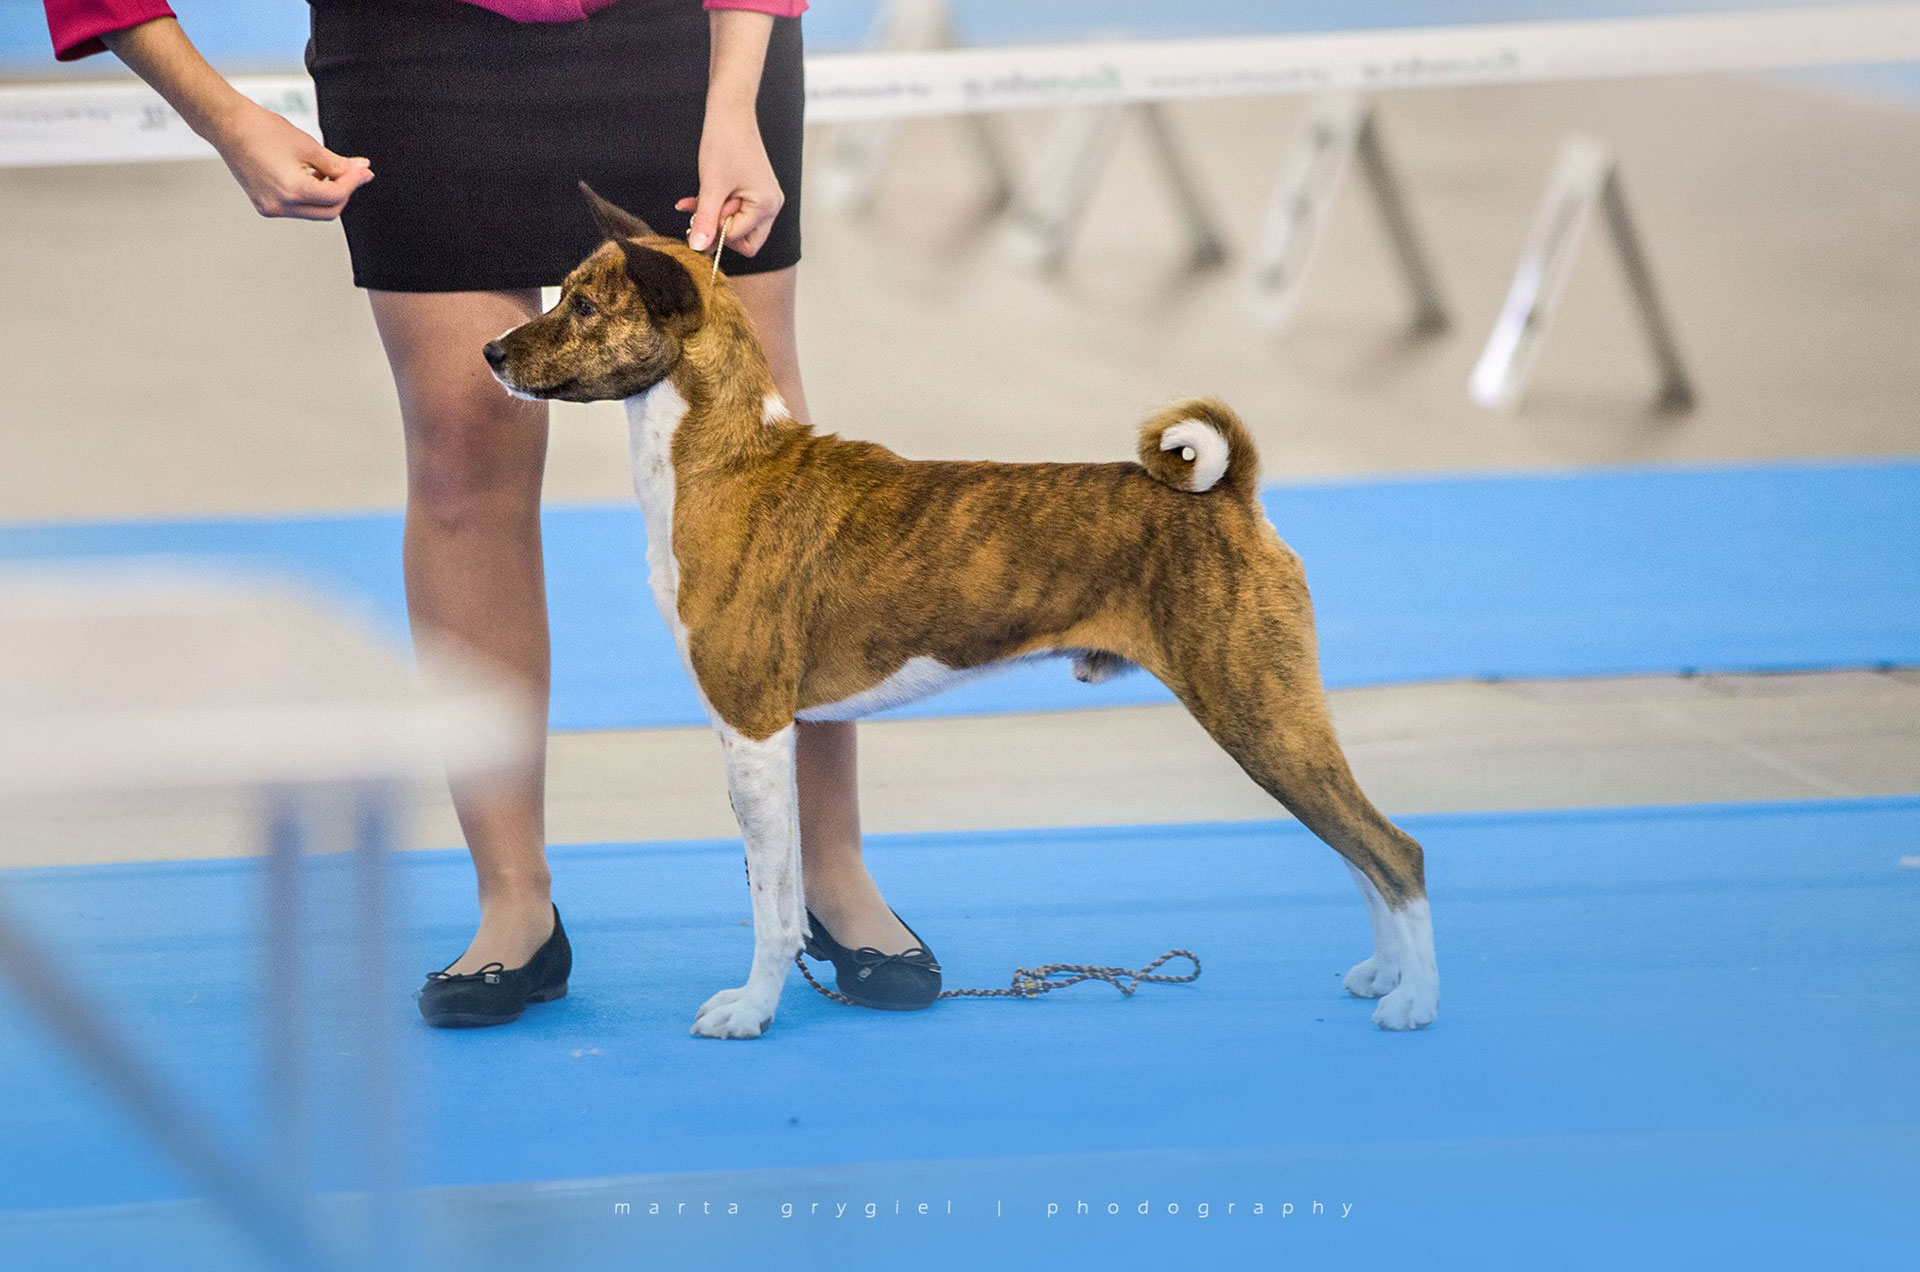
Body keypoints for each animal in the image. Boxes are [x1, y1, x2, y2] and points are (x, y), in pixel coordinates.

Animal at [483, 183, 1439, 1040]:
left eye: (583, 306)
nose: (491, 351)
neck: (726, 464)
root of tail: (1232, 495)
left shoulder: (752, 727)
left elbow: (770, 904)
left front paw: (751, 1011)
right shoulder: (766, 736)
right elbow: (780, 893)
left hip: (1259, 711)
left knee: (1393, 851)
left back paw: (1415, 1003)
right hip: (1274, 717)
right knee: (1357, 852)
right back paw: (1381, 974)